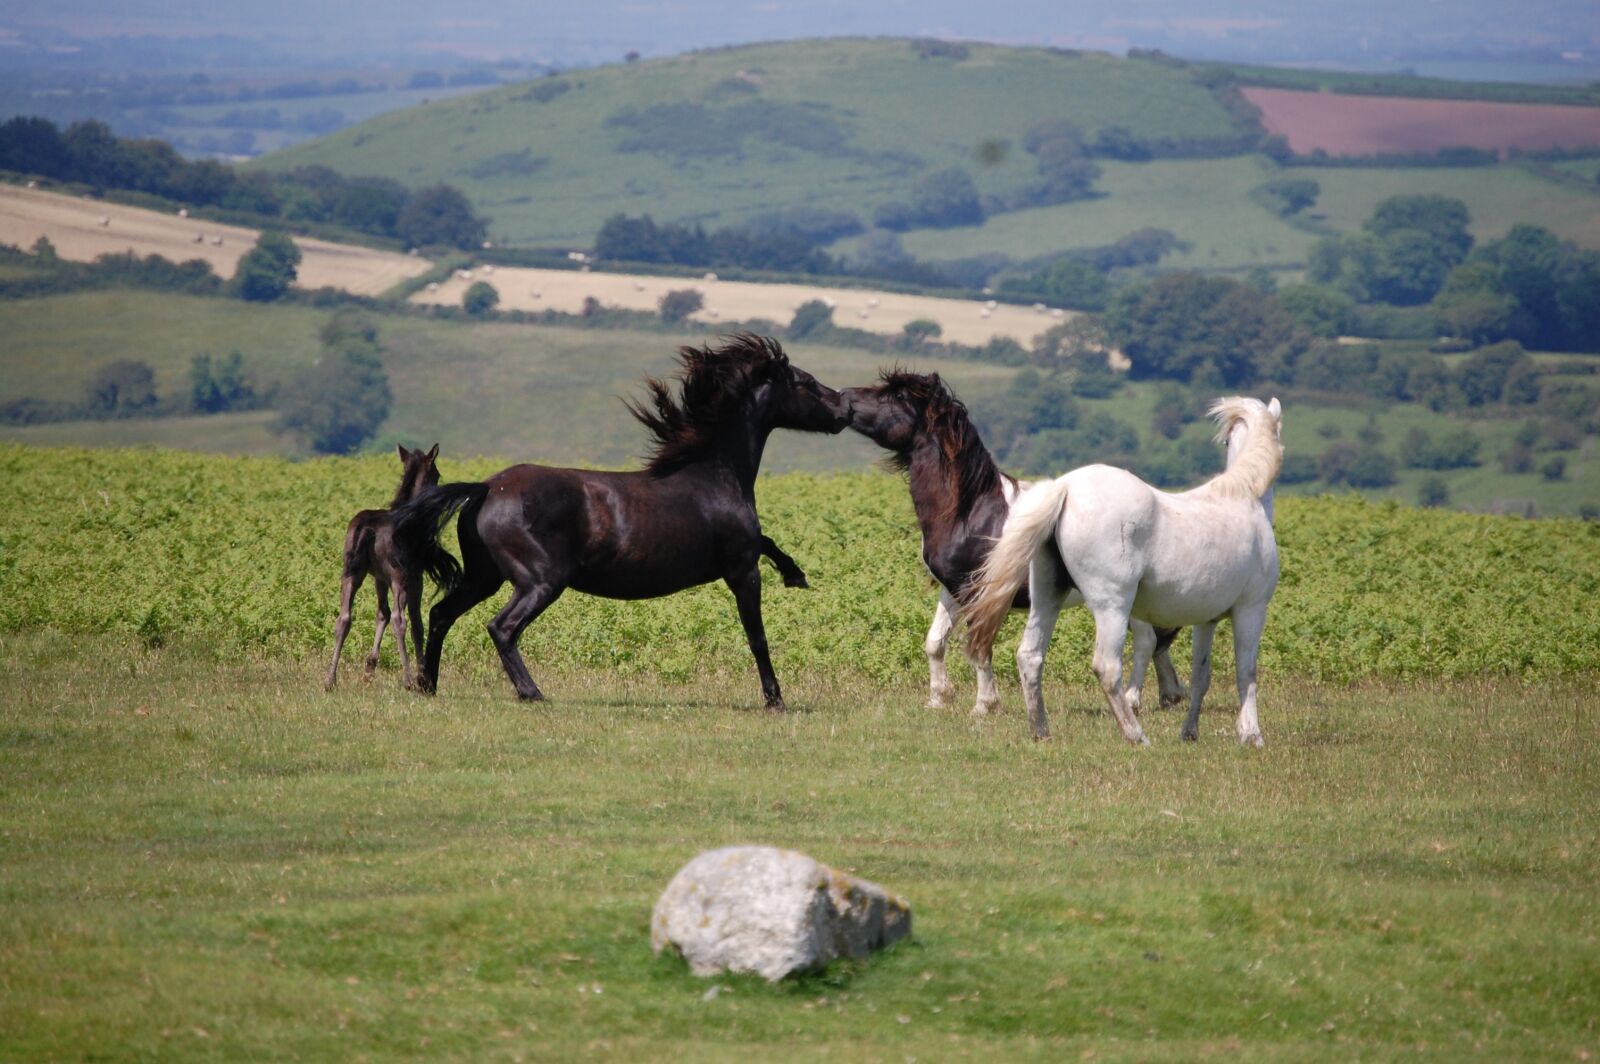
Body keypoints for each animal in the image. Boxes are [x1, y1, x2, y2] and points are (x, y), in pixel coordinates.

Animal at [324, 443, 456, 691]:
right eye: (436, 473)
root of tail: (367, 528)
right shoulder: (414, 578)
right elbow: (416, 624)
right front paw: (422, 674)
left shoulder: (379, 577)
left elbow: (381, 614)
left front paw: (369, 668)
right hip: (399, 577)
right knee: (399, 619)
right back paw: (408, 679)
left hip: (351, 572)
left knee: (344, 618)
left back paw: (329, 679)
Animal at [391, 334, 851, 710]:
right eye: (807, 382)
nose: (845, 408)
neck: (716, 475)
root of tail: (486, 489)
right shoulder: (742, 570)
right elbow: (758, 636)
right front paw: (776, 700)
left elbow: (769, 544)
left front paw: (796, 574)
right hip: (539, 580)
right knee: (501, 627)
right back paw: (532, 693)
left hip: (485, 575)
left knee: (440, 614)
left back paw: (428, 685)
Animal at [838, 370, 1187, 716]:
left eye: (896, 396)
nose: (842, 396)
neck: (972, 513)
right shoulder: (954, 589)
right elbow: (935, 642)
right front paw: (938, 698)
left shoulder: (979, 594)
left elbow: (979, 648)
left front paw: (984, 705)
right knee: (1158, 640)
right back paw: (1170, 694)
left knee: (1145, 641)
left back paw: (1133, 700)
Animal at [962, 397, 1283, 747]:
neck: (1243, 496)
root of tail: (1065, 487)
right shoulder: (1251, 610)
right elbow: (1246, 673)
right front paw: (1251, 734)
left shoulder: (1205, 621)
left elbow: (1202, 676)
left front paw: (1190, 732)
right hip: (1112, 607)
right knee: (1107, 667)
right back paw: (1136, 735)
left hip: (1047, 597)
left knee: (1030, 656)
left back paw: (1041, 731)